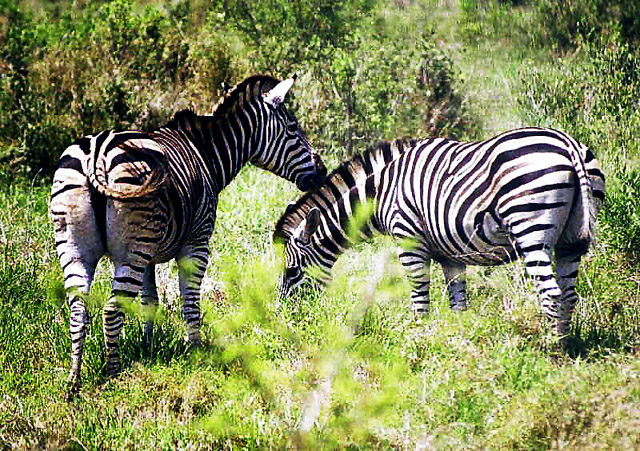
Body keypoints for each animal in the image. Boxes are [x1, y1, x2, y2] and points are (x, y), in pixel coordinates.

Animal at [52, 74, 328, 396]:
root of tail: (96, 151)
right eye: (293, 128)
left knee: (77, 307)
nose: (322, 172)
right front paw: (196, 351)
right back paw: (113, 375)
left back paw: (73, 381)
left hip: (75, 247)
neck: (206, 155)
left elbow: (150, 302)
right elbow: (190, 301)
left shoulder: (150, 255)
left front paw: (147, 349)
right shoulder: (196, 243)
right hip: (130, 250)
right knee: (111, 309)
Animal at [272, 127, 604, 336]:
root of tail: (567, 144)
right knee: (569, 295)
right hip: (571, 240)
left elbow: (420, 298)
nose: (284, 316)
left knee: (551, 293)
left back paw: (549, 351)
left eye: (292, 271)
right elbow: (459, 304)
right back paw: (565, 347)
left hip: (531, 228)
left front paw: (419, 342)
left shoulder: (408, 240)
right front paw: (456, 345)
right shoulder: (451, 254)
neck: (381, 193)